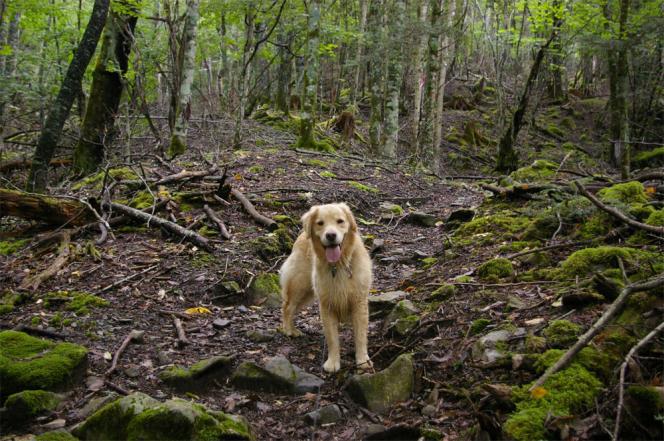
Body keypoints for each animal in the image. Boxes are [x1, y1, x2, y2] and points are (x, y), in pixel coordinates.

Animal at [278, 203, 374, 372]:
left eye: (340, 221)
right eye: (320, 223)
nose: (331, 235)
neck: (338, 265)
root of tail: (301, 235)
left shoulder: (359, 303)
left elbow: (361, 336)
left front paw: (362, 360)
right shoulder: (326, 305)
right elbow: (332, 338)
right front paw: (333, 362)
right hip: (300, 286)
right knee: (287, 307)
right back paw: (290, 330)